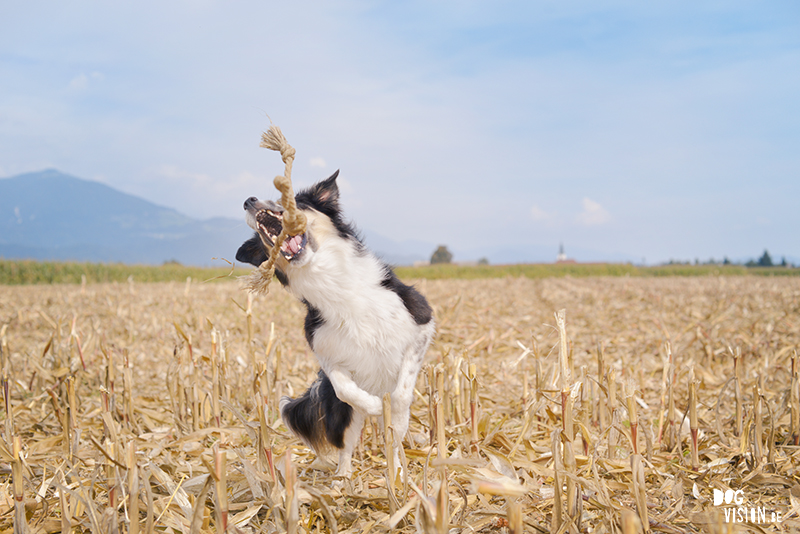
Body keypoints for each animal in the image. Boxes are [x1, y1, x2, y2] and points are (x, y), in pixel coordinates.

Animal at [236, 172, 434, 478]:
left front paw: (392, 404)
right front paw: (373, 403)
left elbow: (402, 392)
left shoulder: (421, 322)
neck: (328, 278)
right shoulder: (326, 355)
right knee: (346, 444)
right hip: (344, 414)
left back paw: (397, 473)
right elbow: (345, 388)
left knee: (393, 441)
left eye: (291, 200)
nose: (248, 200)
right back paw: (343, 478)